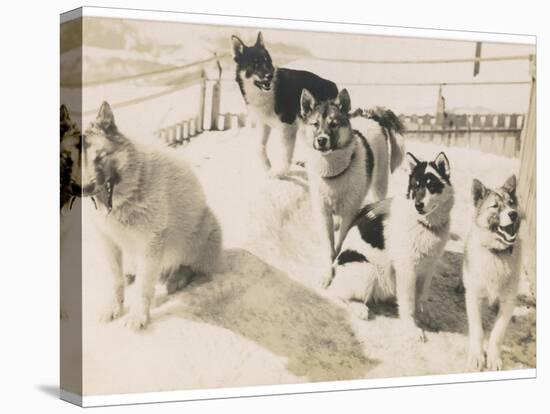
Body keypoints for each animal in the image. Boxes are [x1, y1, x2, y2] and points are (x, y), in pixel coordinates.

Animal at [78, 101, 224, 330]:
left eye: (100, 157)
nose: (85, 189)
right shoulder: (108, 241)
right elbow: (115, 280)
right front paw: (114, 307)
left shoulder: (151, 244)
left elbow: (144, 287)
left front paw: (139, 316)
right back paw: (132, 273)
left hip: (203, 228)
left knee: (192, 267)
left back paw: (176, 279)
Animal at [231, 32, 338, 178]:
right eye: (255, 64)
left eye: (267, 61)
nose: (270, 76)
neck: (267, 93)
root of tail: (333, 85)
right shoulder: (263, 124)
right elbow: (259, 147)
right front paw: (267, 166)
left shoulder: (288, 128)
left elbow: (285, 155)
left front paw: (280, 173)